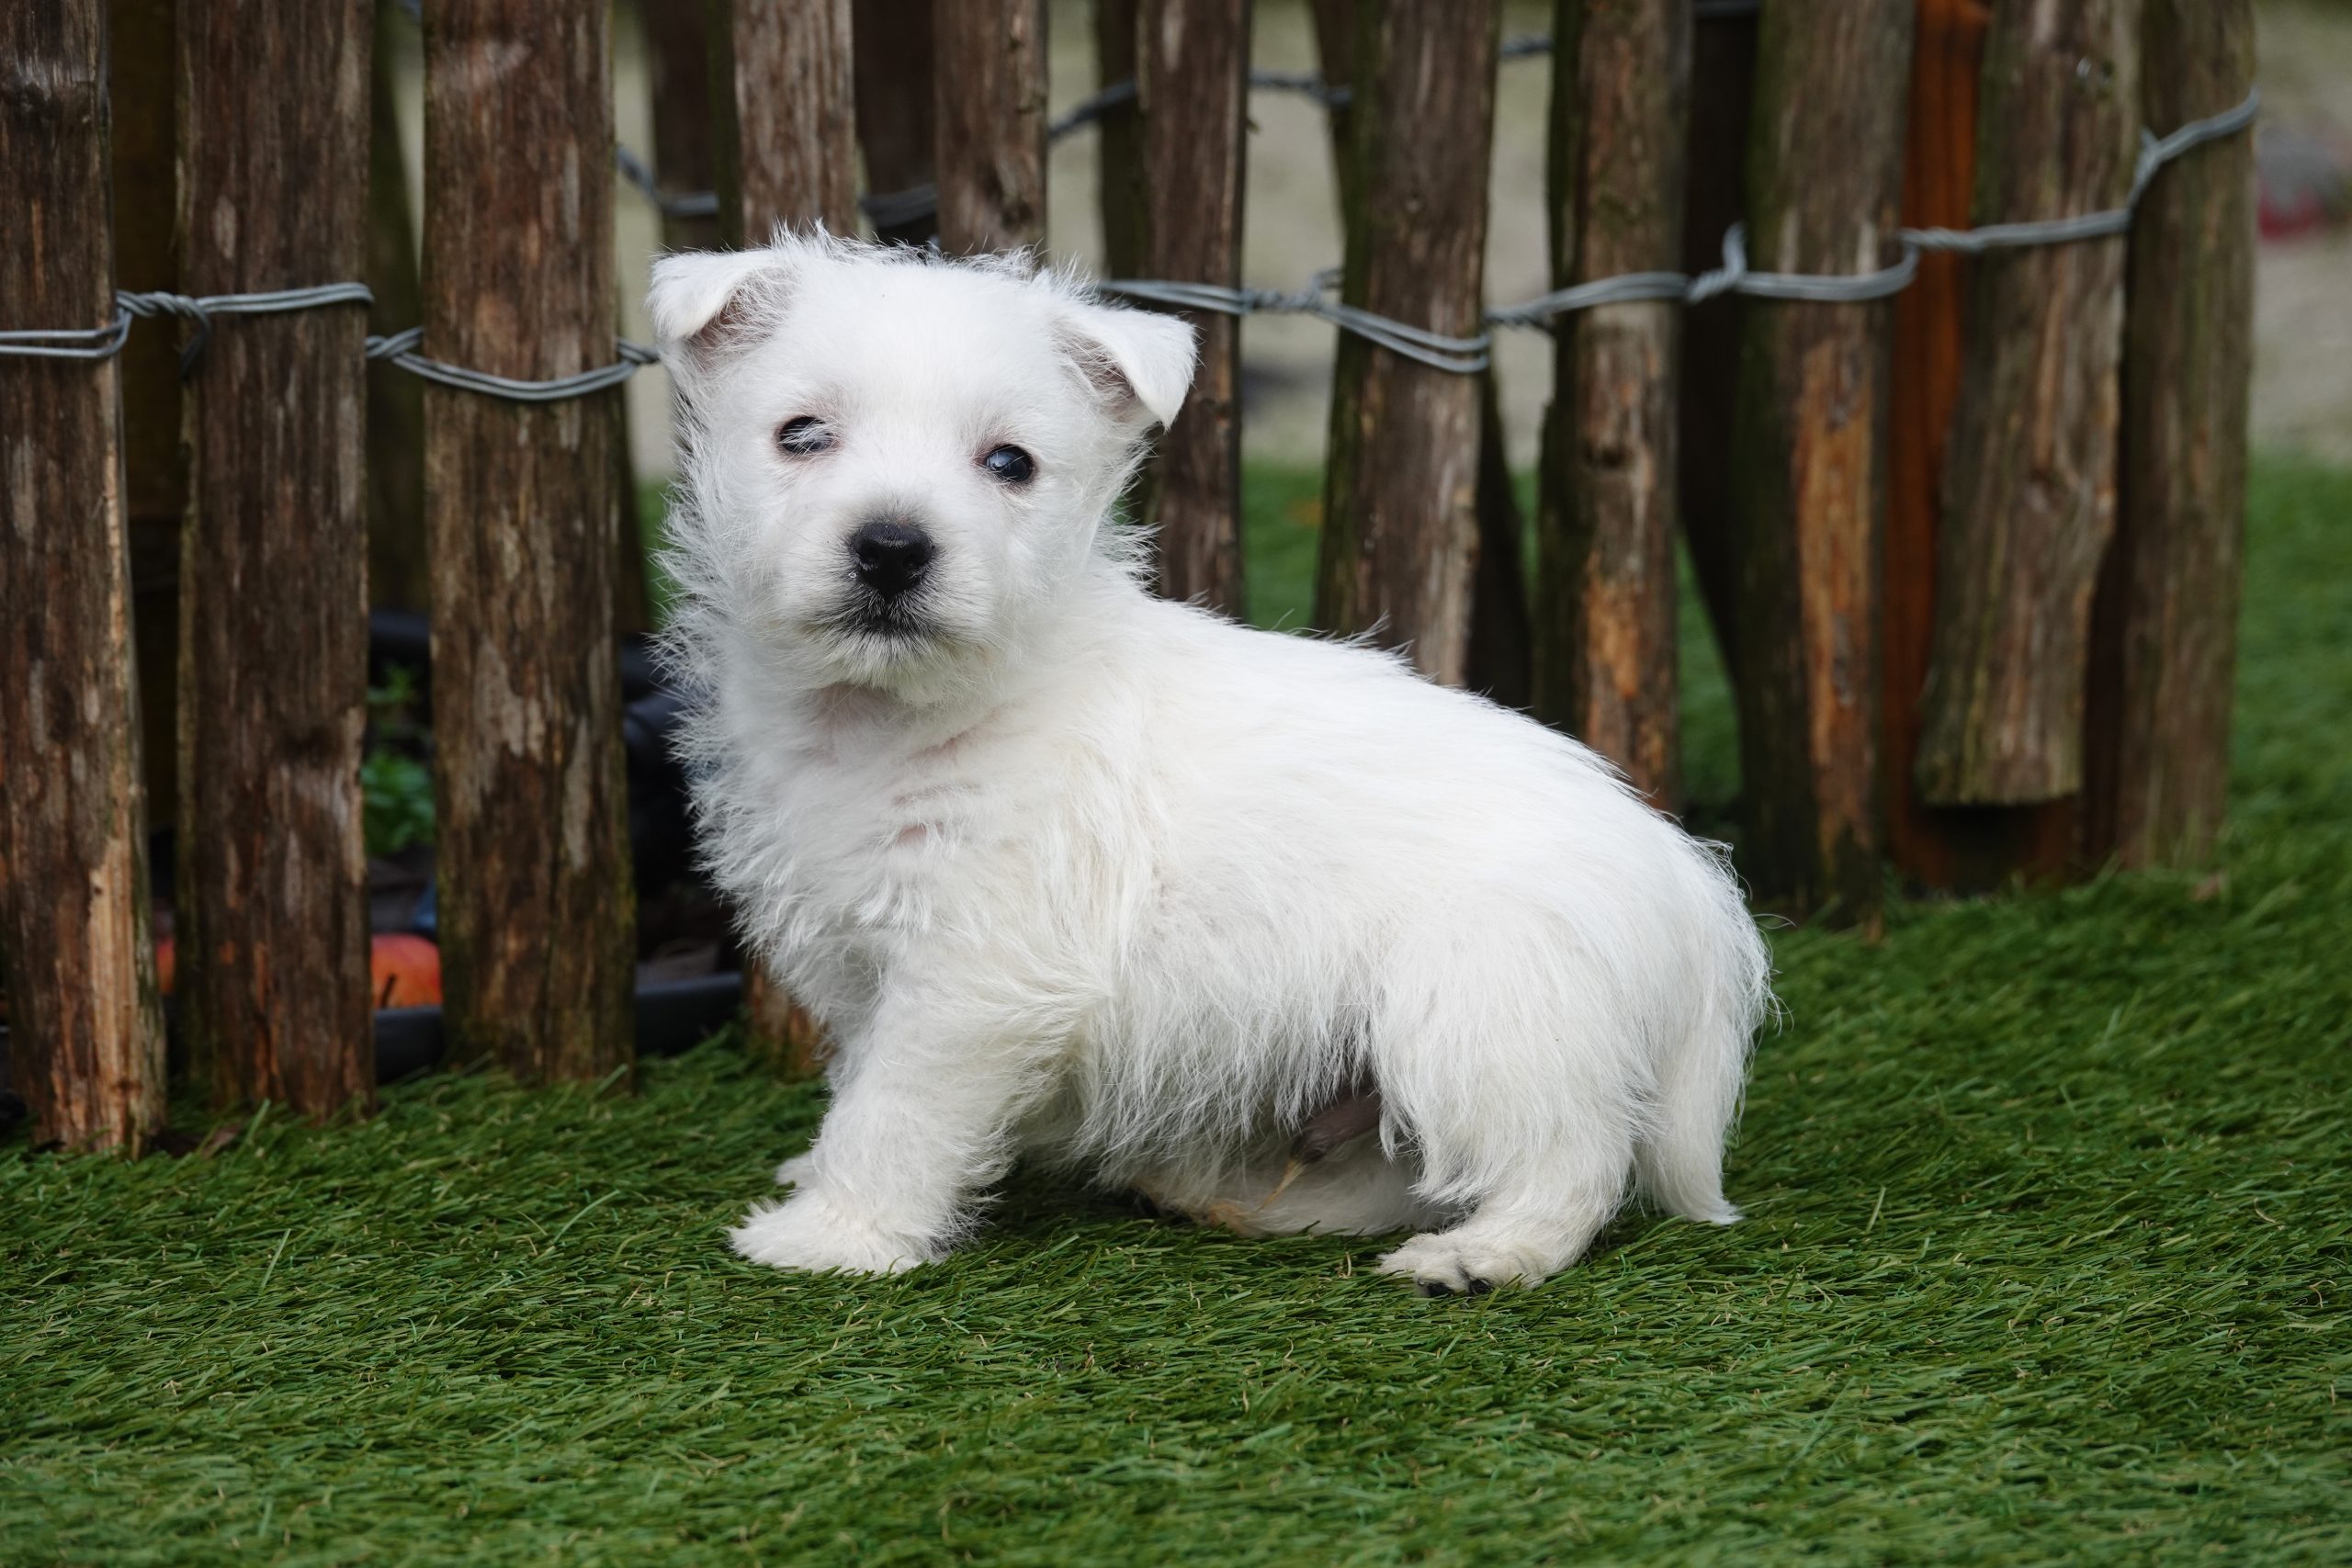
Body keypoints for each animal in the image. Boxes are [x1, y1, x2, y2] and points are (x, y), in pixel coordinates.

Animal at [649, 231, 1772, 1293]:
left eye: (1010, 463)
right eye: (802, 435)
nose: (892, 548)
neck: (891, 716)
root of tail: (1687, 880)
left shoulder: (975, 976)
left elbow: (895, 1107)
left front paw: (836, 1234)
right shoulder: (869, 961)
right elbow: (860, 1078)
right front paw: (819, 1181)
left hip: (1479, 1006)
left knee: (1567, 1158)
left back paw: (1484, 1256)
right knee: (1402, 1172)